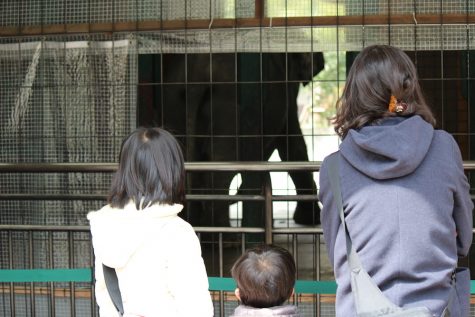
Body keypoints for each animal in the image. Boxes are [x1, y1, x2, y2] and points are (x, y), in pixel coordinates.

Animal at [138, 51, 324, 228]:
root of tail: (195, 81)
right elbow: (293, 145)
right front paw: (310, 219)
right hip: (228, 107)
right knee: (222, 164)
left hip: (174, 106)